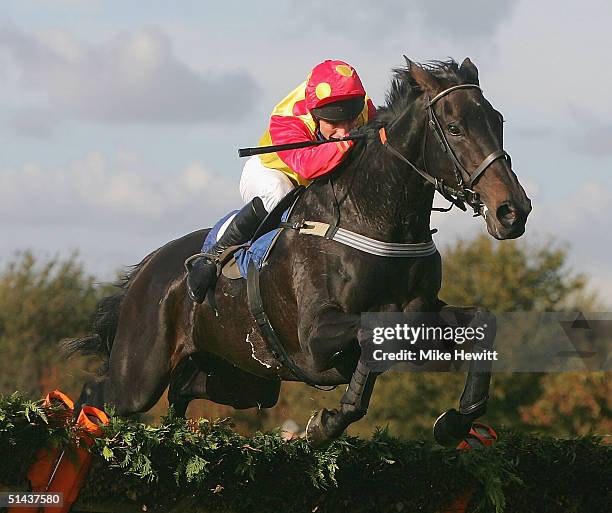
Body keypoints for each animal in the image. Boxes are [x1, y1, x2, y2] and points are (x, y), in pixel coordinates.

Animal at [67, 58, 532, 446]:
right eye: (454, 128)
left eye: (498, 120)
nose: (513, 211)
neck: (375, 217)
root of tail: (148, 267)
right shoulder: (313, 335)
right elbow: (373, 328)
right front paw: (325, 425)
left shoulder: (422, 314)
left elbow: (479, 322)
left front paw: (456, 421)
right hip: (140, 374)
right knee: (99, 391)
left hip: (237, 378)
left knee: (182, 390)